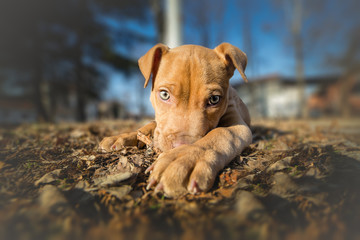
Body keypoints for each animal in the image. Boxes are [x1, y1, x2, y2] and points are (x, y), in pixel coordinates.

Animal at [98, 42, 250, 197]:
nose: (180, 146)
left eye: (214, 99)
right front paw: (123, 136)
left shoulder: (239, 125)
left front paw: (184, 160)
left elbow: (221, 133)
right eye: (164, 94)